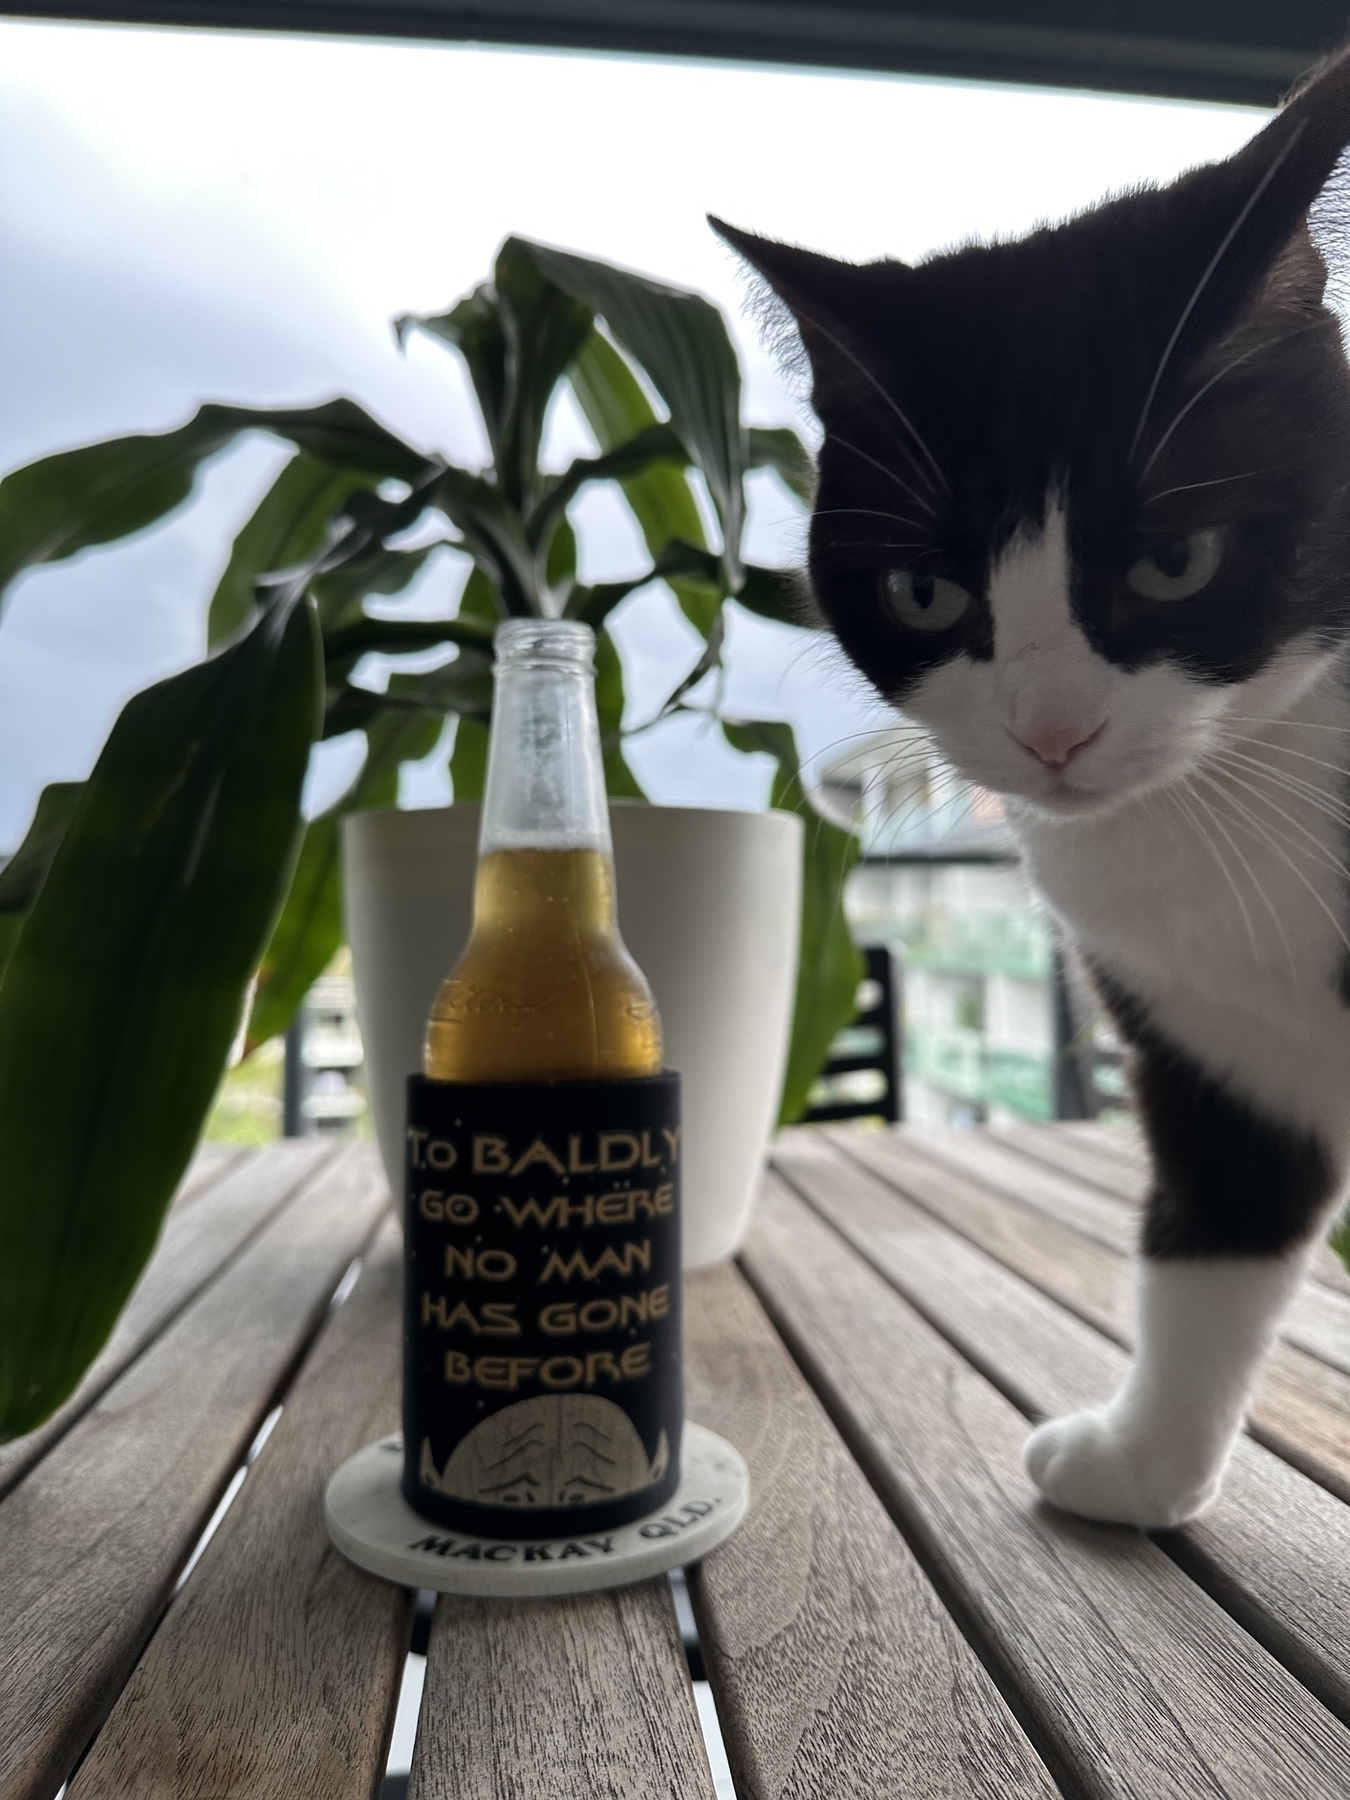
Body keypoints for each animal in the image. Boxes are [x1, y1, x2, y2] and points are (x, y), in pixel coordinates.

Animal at [720, 49, 1350, 1526]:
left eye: (1176, 559)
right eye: (924, 592)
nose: (1052, 734)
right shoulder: (1209, 1039)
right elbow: (1216, 1224)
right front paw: (1144, 1461)